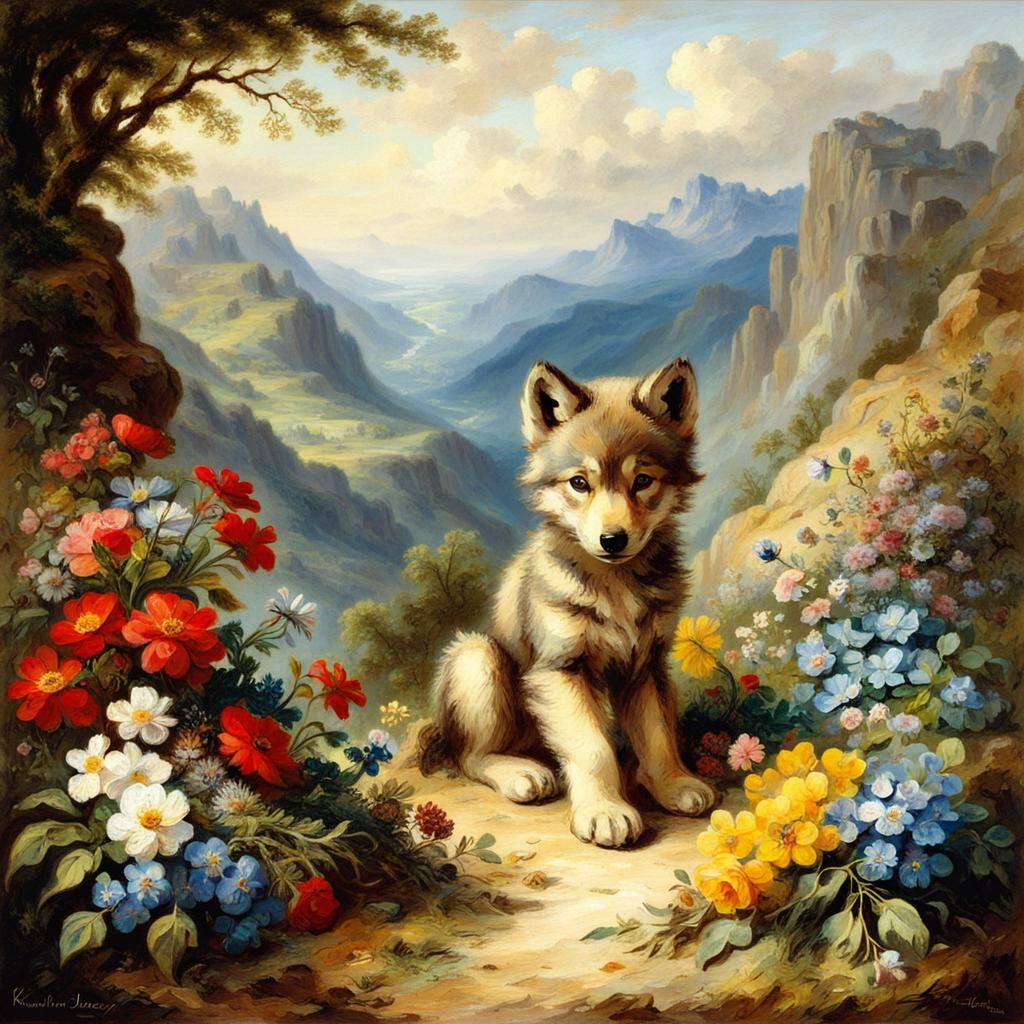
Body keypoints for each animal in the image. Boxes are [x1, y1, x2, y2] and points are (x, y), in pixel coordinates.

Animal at [420, 357, 717, 847]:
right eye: (579, 483)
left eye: (642, 481)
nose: (613, 540)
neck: (615, 586)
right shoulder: (559, 669)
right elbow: (594, 747)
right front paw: (605, 812)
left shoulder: (646, 667)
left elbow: (657, 736)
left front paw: (673, 783)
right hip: (477, 657)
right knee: (470, 756)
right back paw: (522, 773)